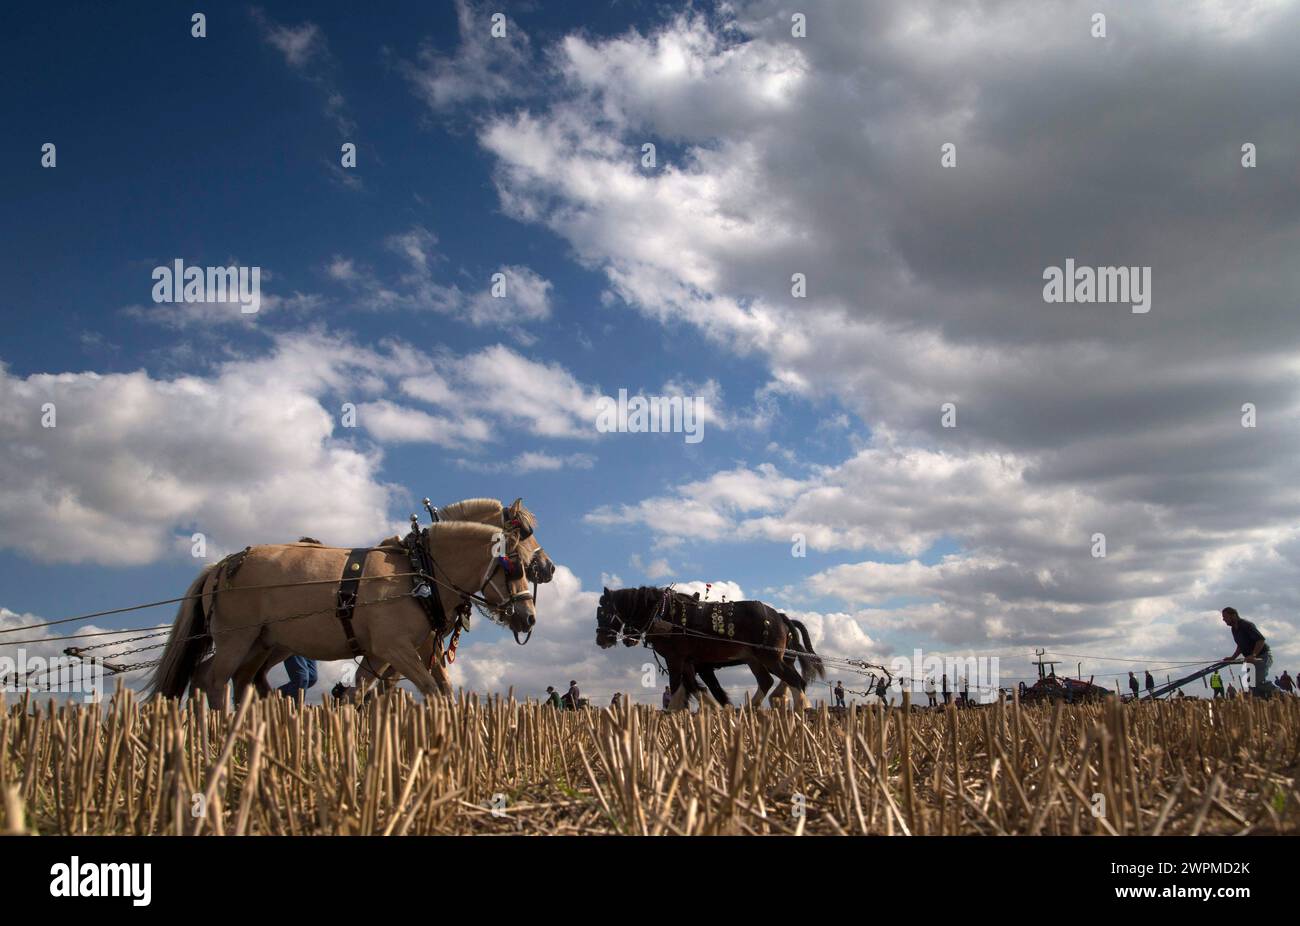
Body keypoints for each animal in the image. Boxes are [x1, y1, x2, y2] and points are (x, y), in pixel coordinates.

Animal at [595, 585, 821, 707]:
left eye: (603, 612)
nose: (601, 640)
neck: (664, 613)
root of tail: (779, 616)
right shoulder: (689, 662)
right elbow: (697, 689)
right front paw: (717, 710)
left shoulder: (676, 659)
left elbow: (679, 689)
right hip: (755, 659)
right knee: (769, 681)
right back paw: (751, 709)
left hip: (770, 657)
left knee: (794, 680)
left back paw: (802, 709)